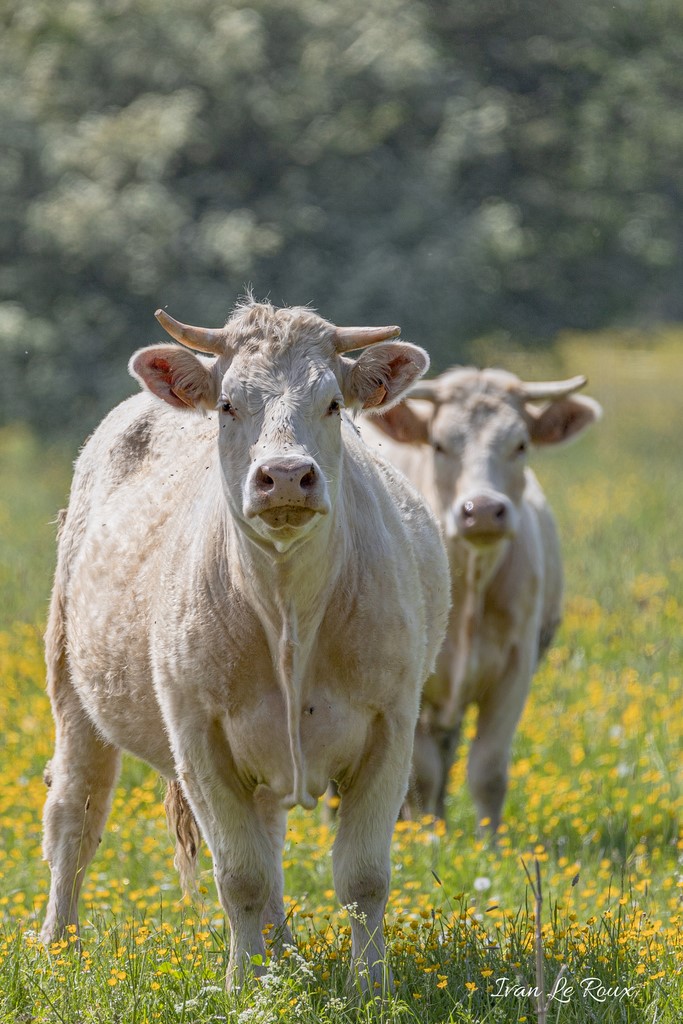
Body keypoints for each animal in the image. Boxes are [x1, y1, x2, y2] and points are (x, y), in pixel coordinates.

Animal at [40, 298, 450, 992]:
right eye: (229, 403)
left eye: (333, 403)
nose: (284, 476)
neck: (287, 612)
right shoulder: (198, 735)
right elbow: (241, 875)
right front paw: (242, 987)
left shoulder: (392, 725)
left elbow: (363, 877)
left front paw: (369, 987)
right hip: (72, 686)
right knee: (75, 815)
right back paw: (59, 949)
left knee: (269, 834)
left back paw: (284, 959)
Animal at [359, 367, 601, 829]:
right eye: (438, 444)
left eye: (520, 444)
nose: (484, 510)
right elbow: (422, 774)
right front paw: (427, 838)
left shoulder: (515, 669)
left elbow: (487, 770)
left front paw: (487, 841)